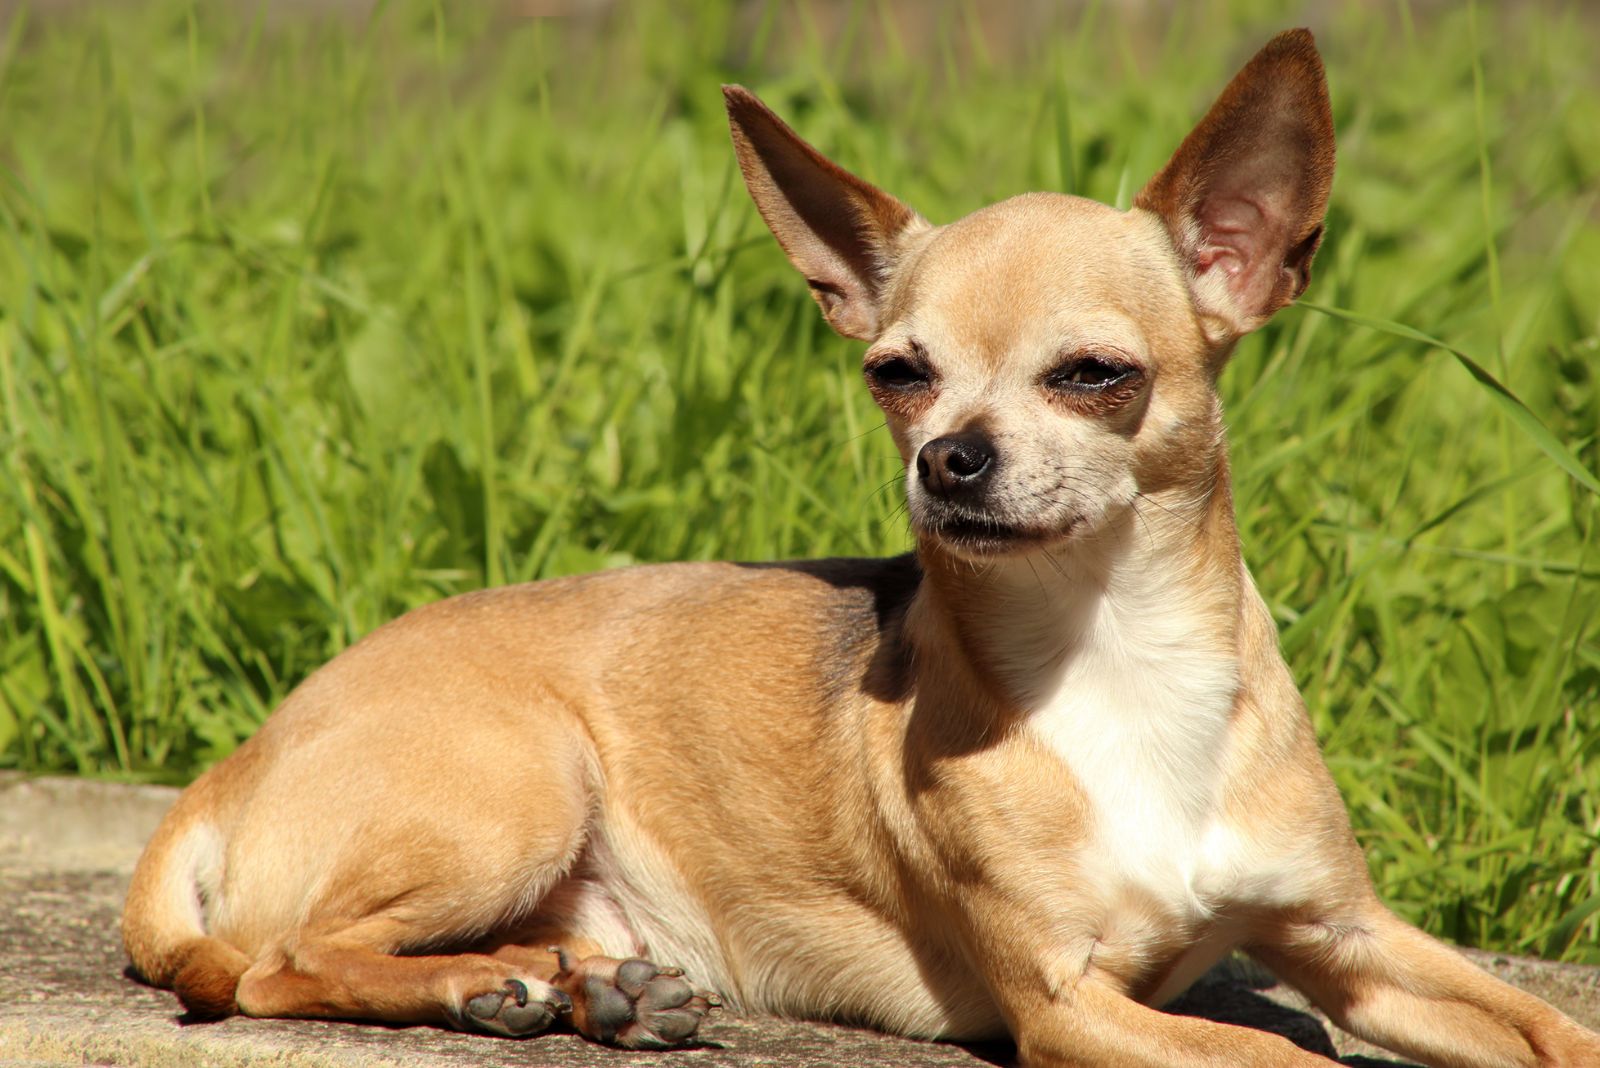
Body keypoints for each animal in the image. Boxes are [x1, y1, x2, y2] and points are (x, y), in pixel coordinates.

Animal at [124, 29, 1600, 1061]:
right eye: (899, 373)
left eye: (1096, 376)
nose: (947, 457)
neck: (1115, 654)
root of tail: (242, 755)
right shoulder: (1069, 1004)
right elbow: (1284, 1059)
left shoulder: (1350, 939)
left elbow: (1550, 1027)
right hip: (515, 786)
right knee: (276, 962)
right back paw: (493, 986)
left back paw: (586, 988)